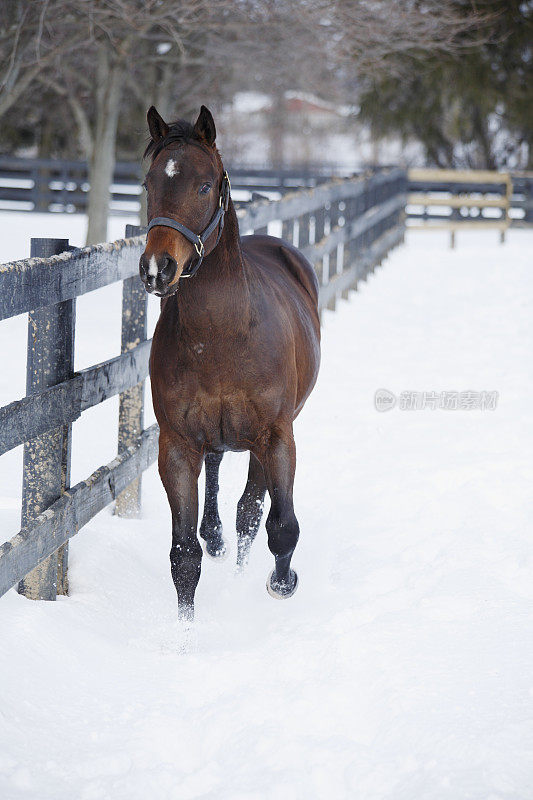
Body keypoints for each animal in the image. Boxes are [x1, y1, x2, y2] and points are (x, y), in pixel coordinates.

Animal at [139, 104, 318, 620]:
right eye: (149, 185)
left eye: (204, 186)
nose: (157, 269)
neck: (220, 339)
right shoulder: (177, 447)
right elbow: (184, 555)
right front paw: (185, 631)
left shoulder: (277, 436)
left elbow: (280, 524)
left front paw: (281, 584)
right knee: (220, 473)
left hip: (267, 437)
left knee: (251, 510)